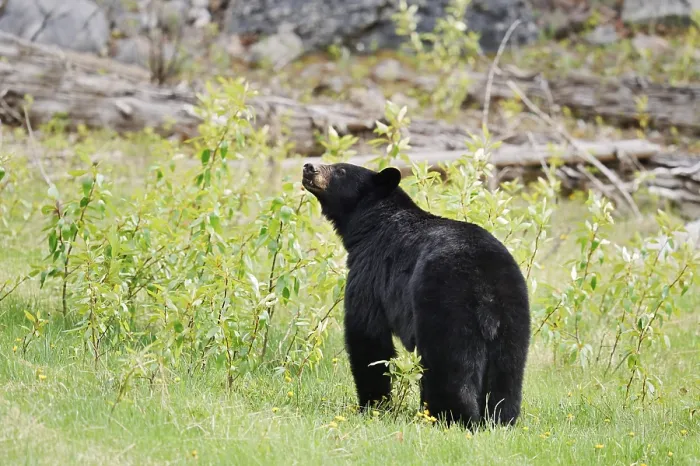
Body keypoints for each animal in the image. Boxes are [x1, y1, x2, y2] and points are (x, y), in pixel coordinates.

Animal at [301, 161, 531, 428]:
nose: (309, 167)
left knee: (449, 369)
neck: (371, 223)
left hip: (446, 306)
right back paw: (501, 420)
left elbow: (367, 335)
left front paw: (373, 405)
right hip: (513, 313)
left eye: (340, 171)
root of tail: (487, 292)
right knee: (508, 373)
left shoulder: (370, 271)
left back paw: (450, 418)